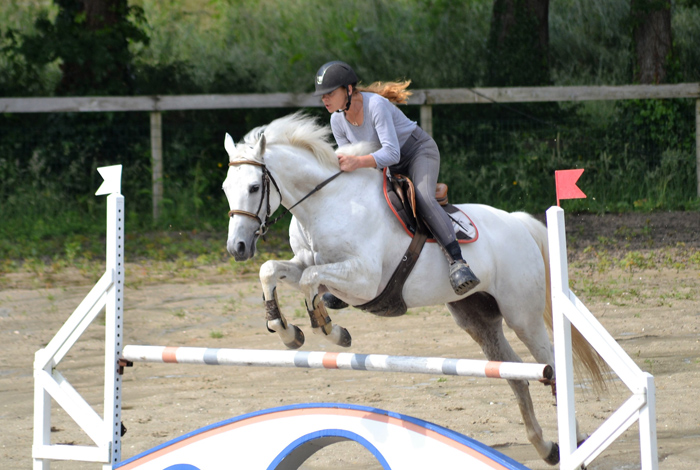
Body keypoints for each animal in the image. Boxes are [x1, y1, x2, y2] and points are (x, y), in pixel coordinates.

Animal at [221, 112, 604, 464]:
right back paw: (546, 447)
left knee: (550, 365)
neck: (325, 203)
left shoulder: (364, 280)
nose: (237, 247)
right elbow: (272, 271)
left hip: (522, 315)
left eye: (254, 187)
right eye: (226, 188)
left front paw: (331, 330)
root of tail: (519, 222)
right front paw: (287, 330)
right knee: (517, 375)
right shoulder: (304, 262)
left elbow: (309, 280)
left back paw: (576, 442)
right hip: (478, 320)